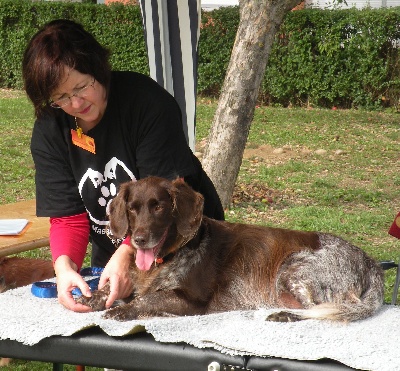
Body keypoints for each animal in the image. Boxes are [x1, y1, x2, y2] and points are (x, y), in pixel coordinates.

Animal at [77, 177, 384, 322]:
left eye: (159, 207)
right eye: (132, 208)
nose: (139, 239)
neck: (170, 256)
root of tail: (370, 263)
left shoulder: (192, 301)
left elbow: (148, 299)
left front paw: (124, 310)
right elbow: (111, 289)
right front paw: (92, 297)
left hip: (294, 271)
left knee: (329, 309)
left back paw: (285, 315)